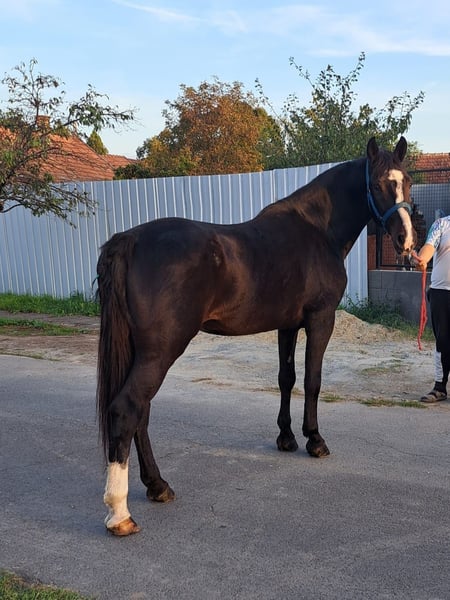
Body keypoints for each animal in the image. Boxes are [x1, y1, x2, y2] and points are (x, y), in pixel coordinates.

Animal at [96, 138, 416, 536]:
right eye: (377, 185)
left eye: (407, 181)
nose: (406, 241)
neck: (317, 231)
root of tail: (130, 240)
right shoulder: (320, 319)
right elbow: (312, 381)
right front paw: (315, 440)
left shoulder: (287, 325)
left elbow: (286, 379)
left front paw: (286, 438)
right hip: (161, 350)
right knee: (127, 409)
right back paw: (119, 513)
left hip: (142, 351)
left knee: (141, 413)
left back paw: (158, 486)